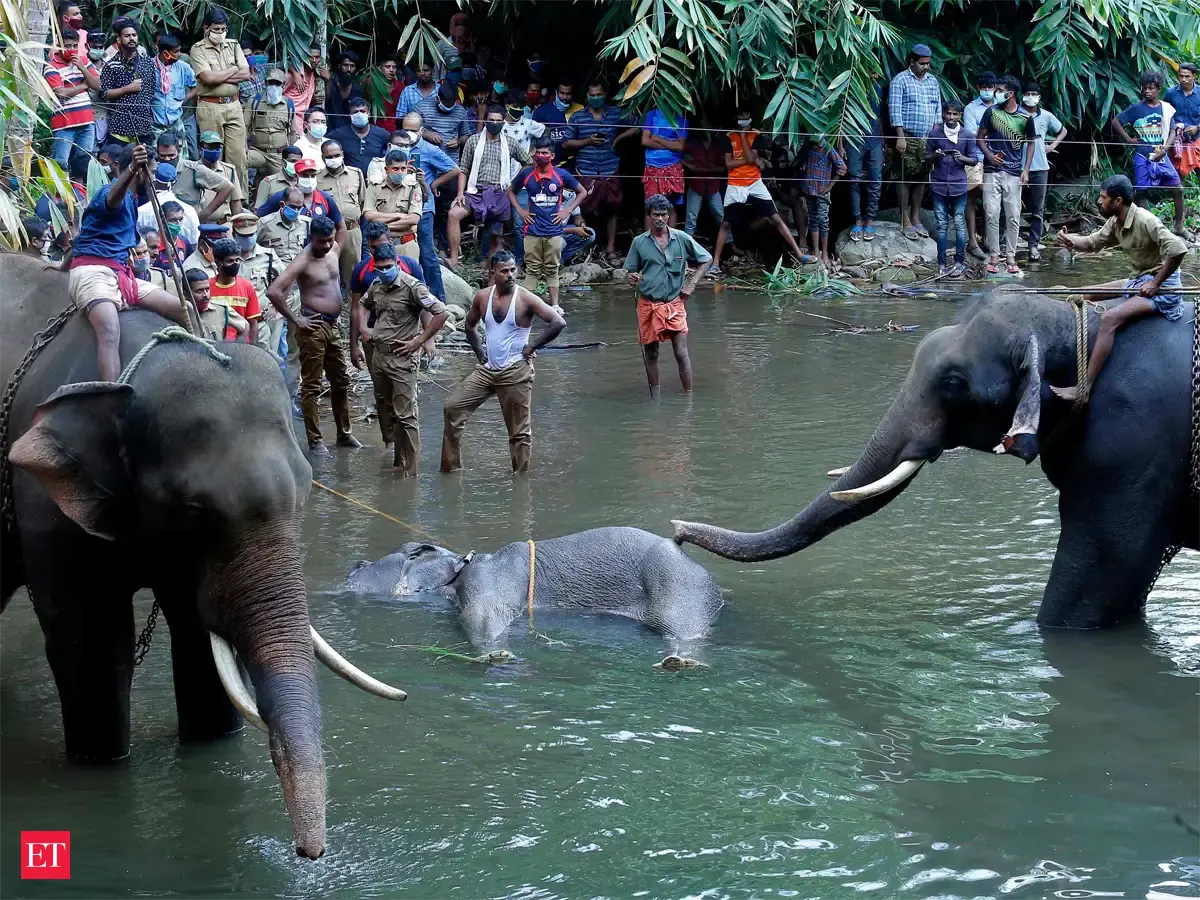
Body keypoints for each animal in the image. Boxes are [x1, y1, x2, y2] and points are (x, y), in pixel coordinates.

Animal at [0, 253, 403, 859]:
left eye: (306, 491)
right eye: (192, 509)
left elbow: (197, 640)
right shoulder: (44, 507)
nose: (310, 854)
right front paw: (102, 763)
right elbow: (91, 646)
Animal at [344, 526, 725, 666]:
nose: (353, 565)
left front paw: (497, 656)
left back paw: (680, 662)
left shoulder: (487, 583)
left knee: (683, 630)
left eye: (411, 551)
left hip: (678, 588)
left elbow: (482, 617)